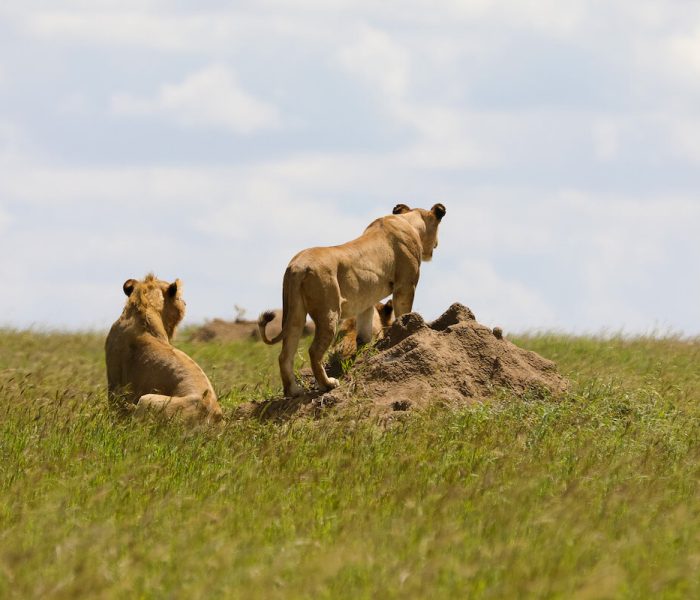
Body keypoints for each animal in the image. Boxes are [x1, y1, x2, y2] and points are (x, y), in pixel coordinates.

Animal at [258, 204, 448, 396]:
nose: (437, 244)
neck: (410, 221)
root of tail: (298, 266)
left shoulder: (366, 300)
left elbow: (364, 330)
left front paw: (365, 348)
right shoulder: (405, 286)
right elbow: (404, 312)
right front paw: (407, 327)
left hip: (295, 314)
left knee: (285, 354)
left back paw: (293, 391)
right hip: (330, 311)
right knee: (314, 351)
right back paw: (328, 384)